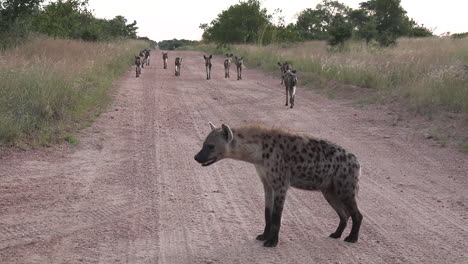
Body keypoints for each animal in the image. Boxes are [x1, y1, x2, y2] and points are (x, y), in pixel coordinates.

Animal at [194, 124, 362, 248]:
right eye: (203, 145)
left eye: (210, 146)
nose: (196, 157)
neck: (258, 153)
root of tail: (356, 160)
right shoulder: (267, 183)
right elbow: (267, 212)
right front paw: (263, 236)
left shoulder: (280, 185)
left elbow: (276, 215)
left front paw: (272, 242)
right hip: (329, 191)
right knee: (344, 214)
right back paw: (336, 234)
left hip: (344, 187)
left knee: (356, 214)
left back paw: (351, 238)